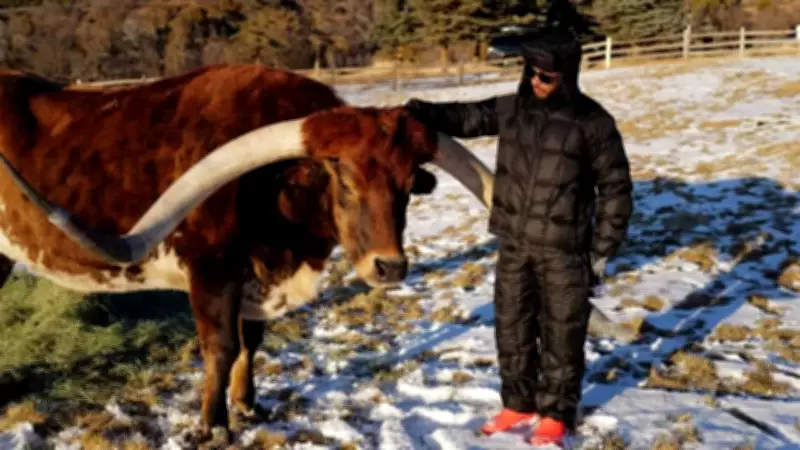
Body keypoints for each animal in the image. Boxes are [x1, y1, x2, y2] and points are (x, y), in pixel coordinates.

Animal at [0, 64, 495, 443]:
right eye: (345, 180)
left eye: (410, 184)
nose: (389, 266)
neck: (272, 189)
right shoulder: (211, 272)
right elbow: (221, 346)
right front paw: (212, 427)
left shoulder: (255, 276)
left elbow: (251, 341)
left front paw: (247, 403)